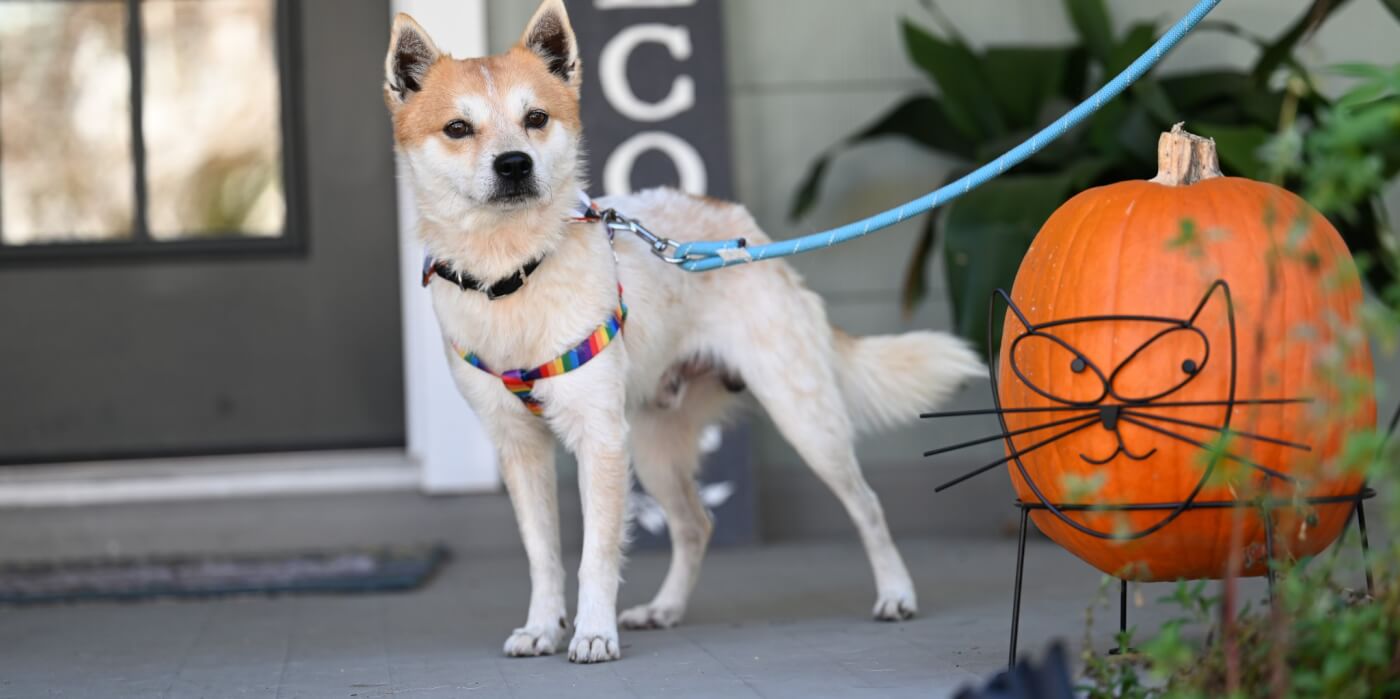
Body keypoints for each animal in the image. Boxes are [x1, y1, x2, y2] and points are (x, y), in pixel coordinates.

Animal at [386, 0, 985, 666]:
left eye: (535, 118)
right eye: (457, 128)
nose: (514, 164)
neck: (513, 271)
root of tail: (749, 233)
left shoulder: (600, 440)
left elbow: (596, 555)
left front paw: (593, 632)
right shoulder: (519, 446)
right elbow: (542, 555)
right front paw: (543, 627)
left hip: (804, 421)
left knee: (868, 507)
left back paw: (896, 593)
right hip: (654, 447)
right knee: (697, 525)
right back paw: (665, 608)